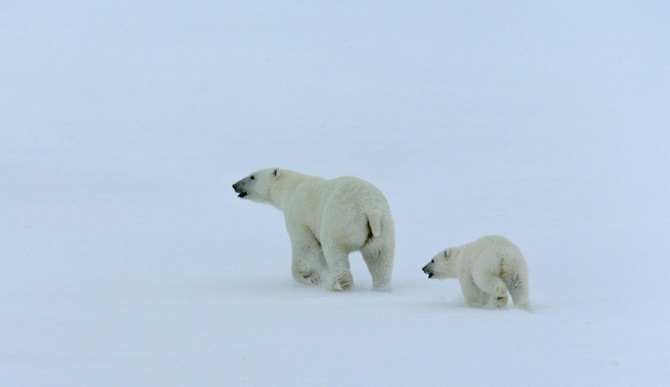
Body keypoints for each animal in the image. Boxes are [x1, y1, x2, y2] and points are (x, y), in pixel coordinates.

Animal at [234, 168, 396, 292]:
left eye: (252, 176)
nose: (234, 185)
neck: (291, 188)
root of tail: (371, 211)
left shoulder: (299, 214)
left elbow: (305, 245)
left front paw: (309, 277)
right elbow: (319, 254)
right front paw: (319, 274)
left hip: (340, 222)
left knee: (335, 251)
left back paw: (338, 284)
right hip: (383, 229)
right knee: (380, 259)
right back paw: (381, 288)